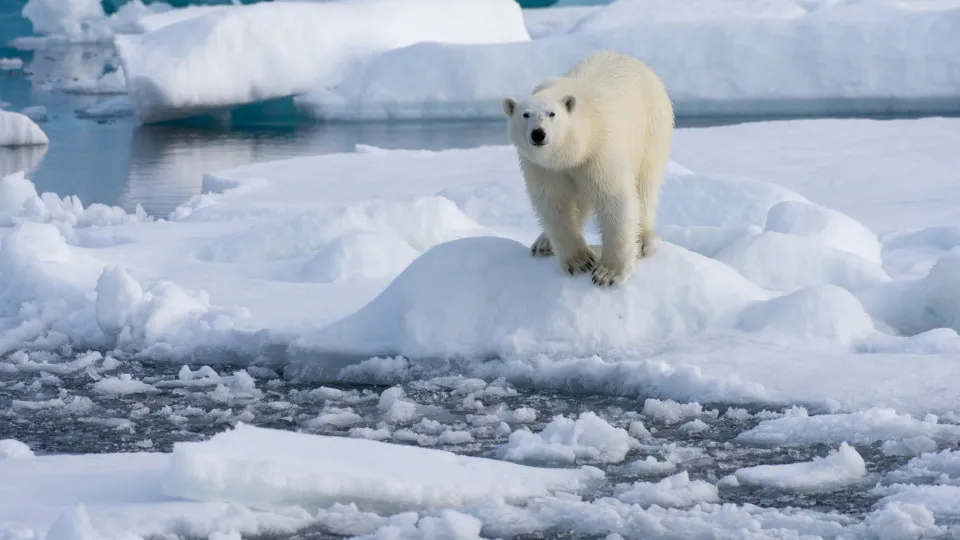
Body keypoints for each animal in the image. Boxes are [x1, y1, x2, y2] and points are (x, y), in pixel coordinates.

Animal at [502, 50, 675, 288]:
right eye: (525, 114)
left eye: (552, 114)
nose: (538, 133)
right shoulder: (543, 167)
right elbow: (553, 202)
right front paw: (579, 262)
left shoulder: (599, 152)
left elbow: (614, 199)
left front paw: (608, 274)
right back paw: (543, 242)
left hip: (652, 128)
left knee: (646, 184)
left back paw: (643, 239)